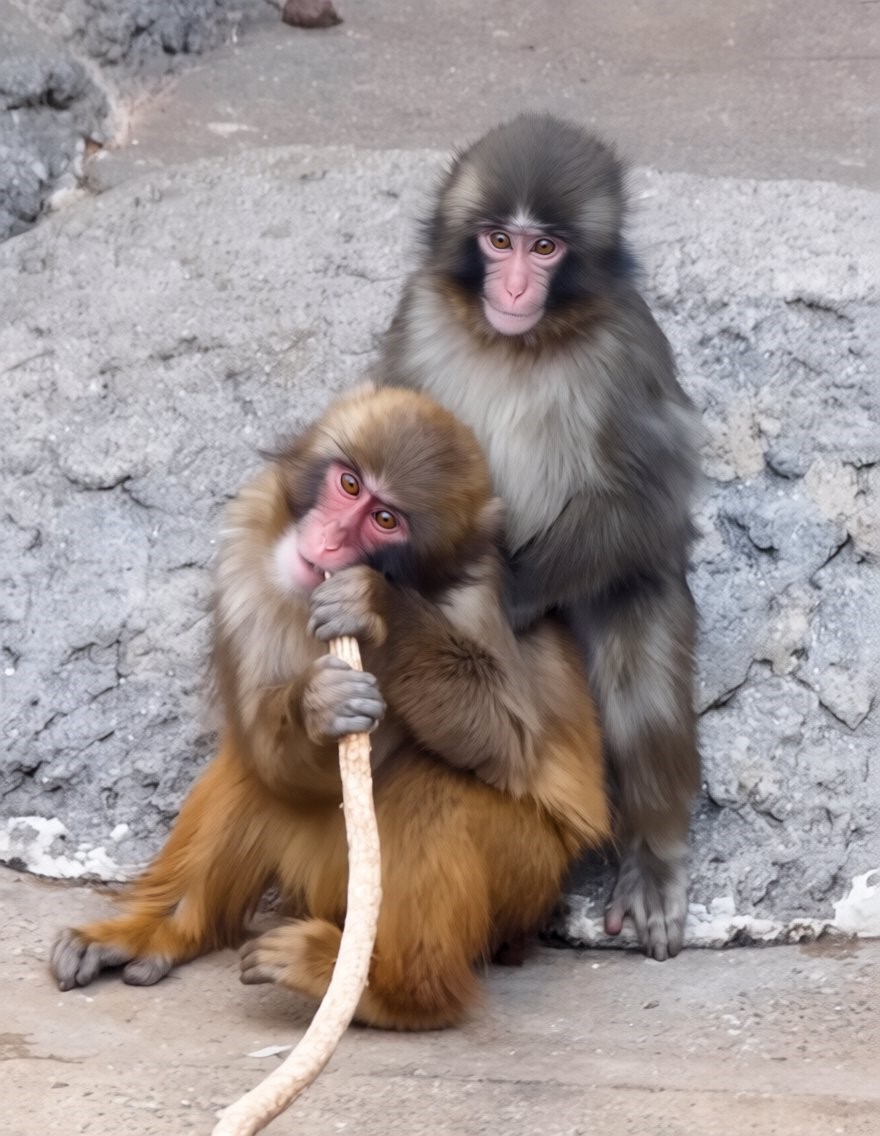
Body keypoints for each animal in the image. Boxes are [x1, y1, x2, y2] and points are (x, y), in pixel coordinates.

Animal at [50, 385, 610, 1030]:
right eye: (348, 485)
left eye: (385, 519)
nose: (332, 539)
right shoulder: (247, 547)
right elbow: (269, 752)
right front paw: (318, 704)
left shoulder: (481, 597)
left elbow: (510, 741)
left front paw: (378, 607)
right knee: (253, 769)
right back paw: (160, 930)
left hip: (525, 877)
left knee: (439, 789)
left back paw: (390, 990)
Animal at [376, 113, 701, 961]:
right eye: (498, 241)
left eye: (545, 248)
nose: (515, 287)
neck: (517, 341)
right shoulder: (418, 315)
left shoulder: (628, 344)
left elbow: (654, 499)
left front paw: (506, 592)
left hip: (610, 590)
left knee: (642, 683)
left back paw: (653, 857)